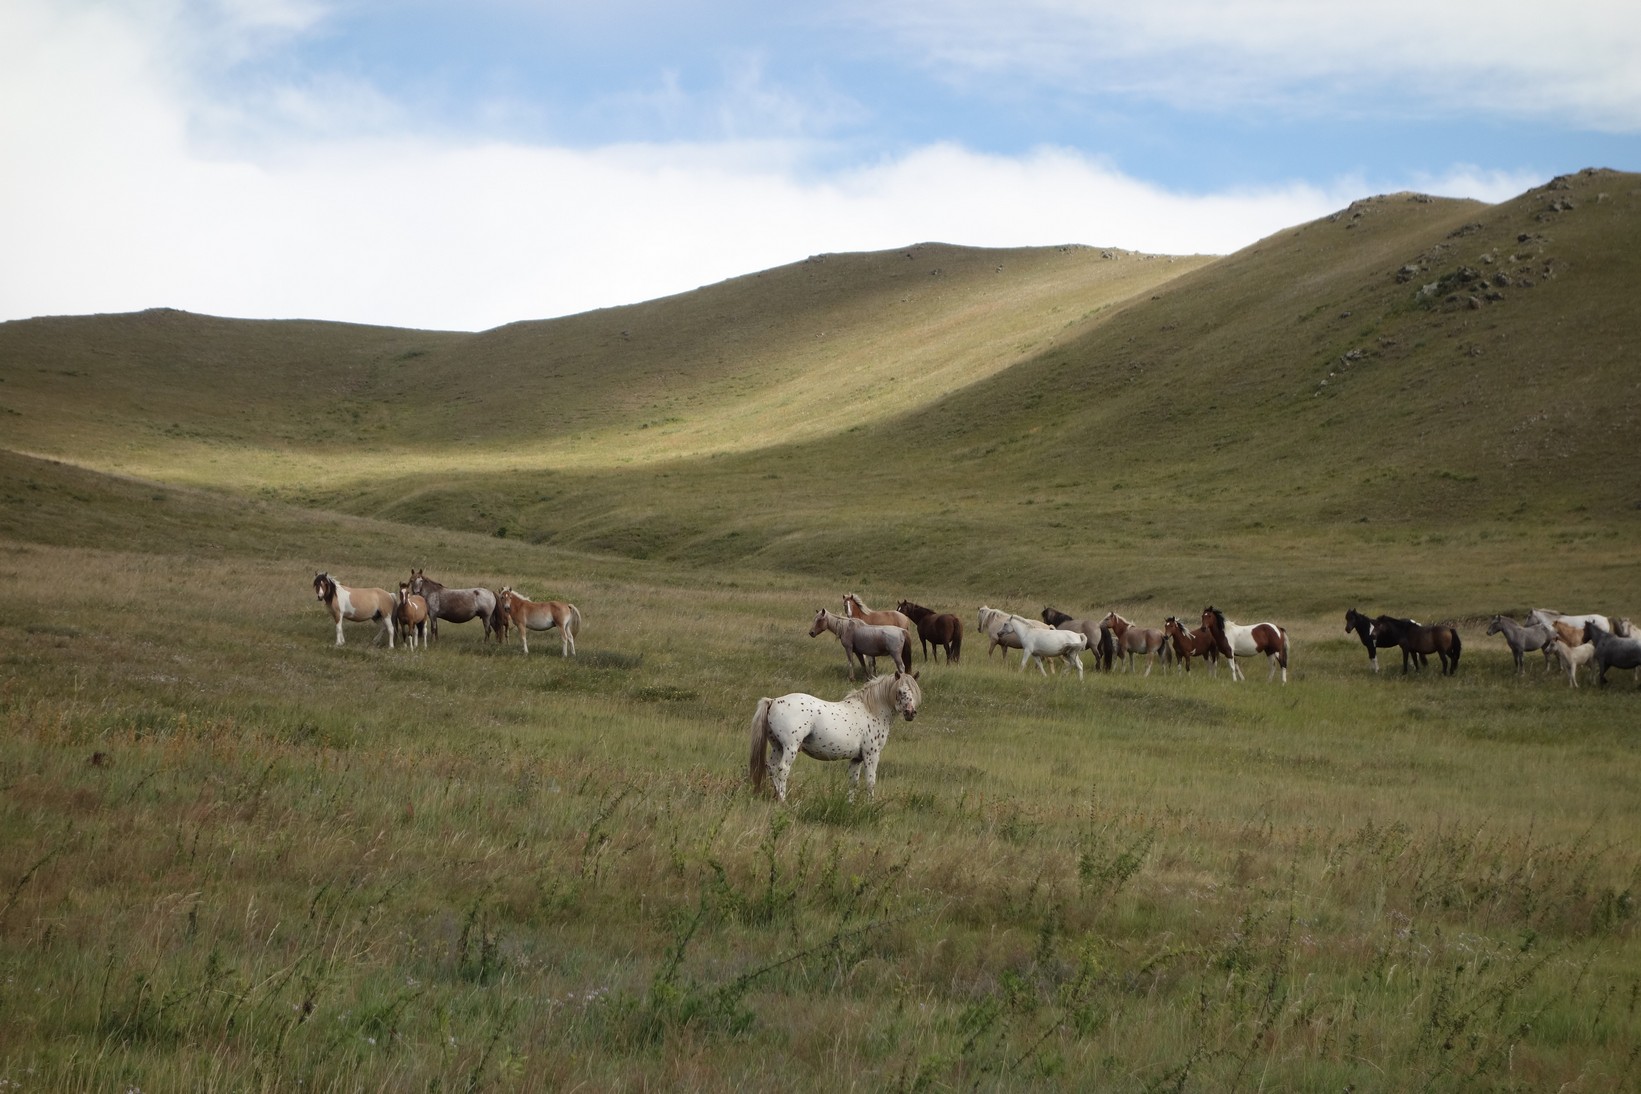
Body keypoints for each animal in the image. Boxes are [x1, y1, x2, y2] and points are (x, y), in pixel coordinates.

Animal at [748, 669, 918, 803]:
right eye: (900, 691)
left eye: (914, 692)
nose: (911, 713)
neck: (871, 710)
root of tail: (773, 701)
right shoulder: (871, 755)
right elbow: (871, 781)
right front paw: (870, 805)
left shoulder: (856, 758)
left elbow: (853, 782)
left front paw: (851, 805)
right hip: (790, 748)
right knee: (783, 769)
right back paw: (783, 801)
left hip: (777, 747)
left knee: (771, 768)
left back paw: (777, 796)